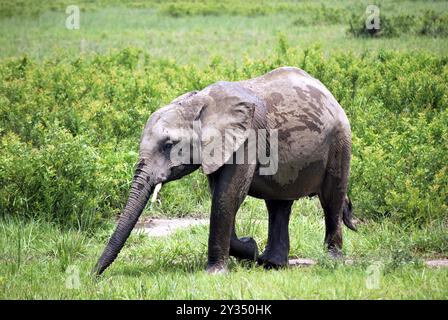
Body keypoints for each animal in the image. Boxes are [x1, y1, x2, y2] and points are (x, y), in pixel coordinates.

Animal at [93, 65, 356, 276]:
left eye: (168, 145)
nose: (92, 275)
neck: (199, 102)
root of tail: (329, 94)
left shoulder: (247, 138)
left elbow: (226, 196)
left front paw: (215, 274)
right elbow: (221, 196)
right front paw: (250, 248)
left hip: (339, 142)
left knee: (331, 199)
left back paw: (331, 260)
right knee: (278, 204)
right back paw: (271, 264)